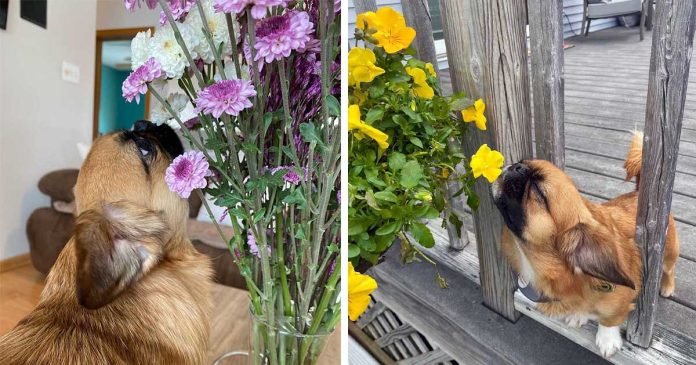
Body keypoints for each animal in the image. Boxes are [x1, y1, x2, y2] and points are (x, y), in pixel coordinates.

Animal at [492, 132, 676, 356]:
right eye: (522, 162)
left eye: (537, 190)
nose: (517, 166)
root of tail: (638, 192)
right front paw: (579, 315)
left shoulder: (619, 302)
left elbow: (609, 319)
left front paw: (607, 339)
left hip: (668, 256)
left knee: (669, 271)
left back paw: (667, 287)